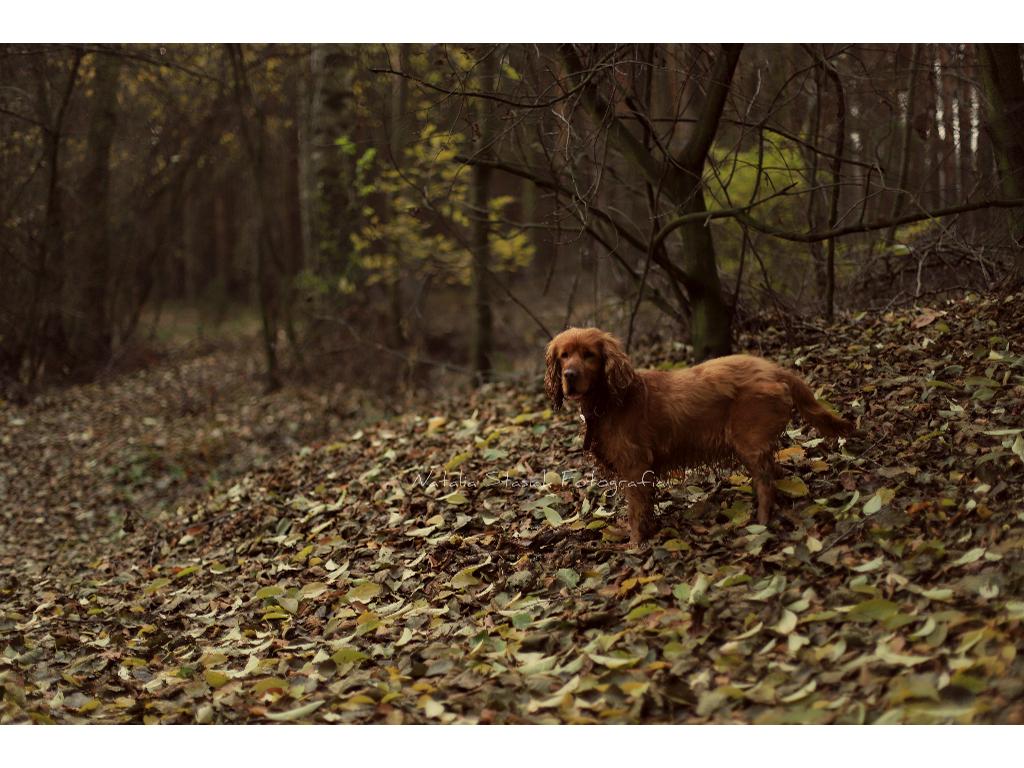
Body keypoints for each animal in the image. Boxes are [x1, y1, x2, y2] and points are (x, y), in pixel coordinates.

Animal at [544, 327, 856, 544]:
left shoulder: (635, 466)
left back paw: (761, 522)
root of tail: (775, 369)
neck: (611, 398)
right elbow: (645, 507)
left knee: (767, 485)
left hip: (749, 443)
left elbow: (636, 510)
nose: (569, 375)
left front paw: (635, 543)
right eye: (564, 356)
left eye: (589, 355)